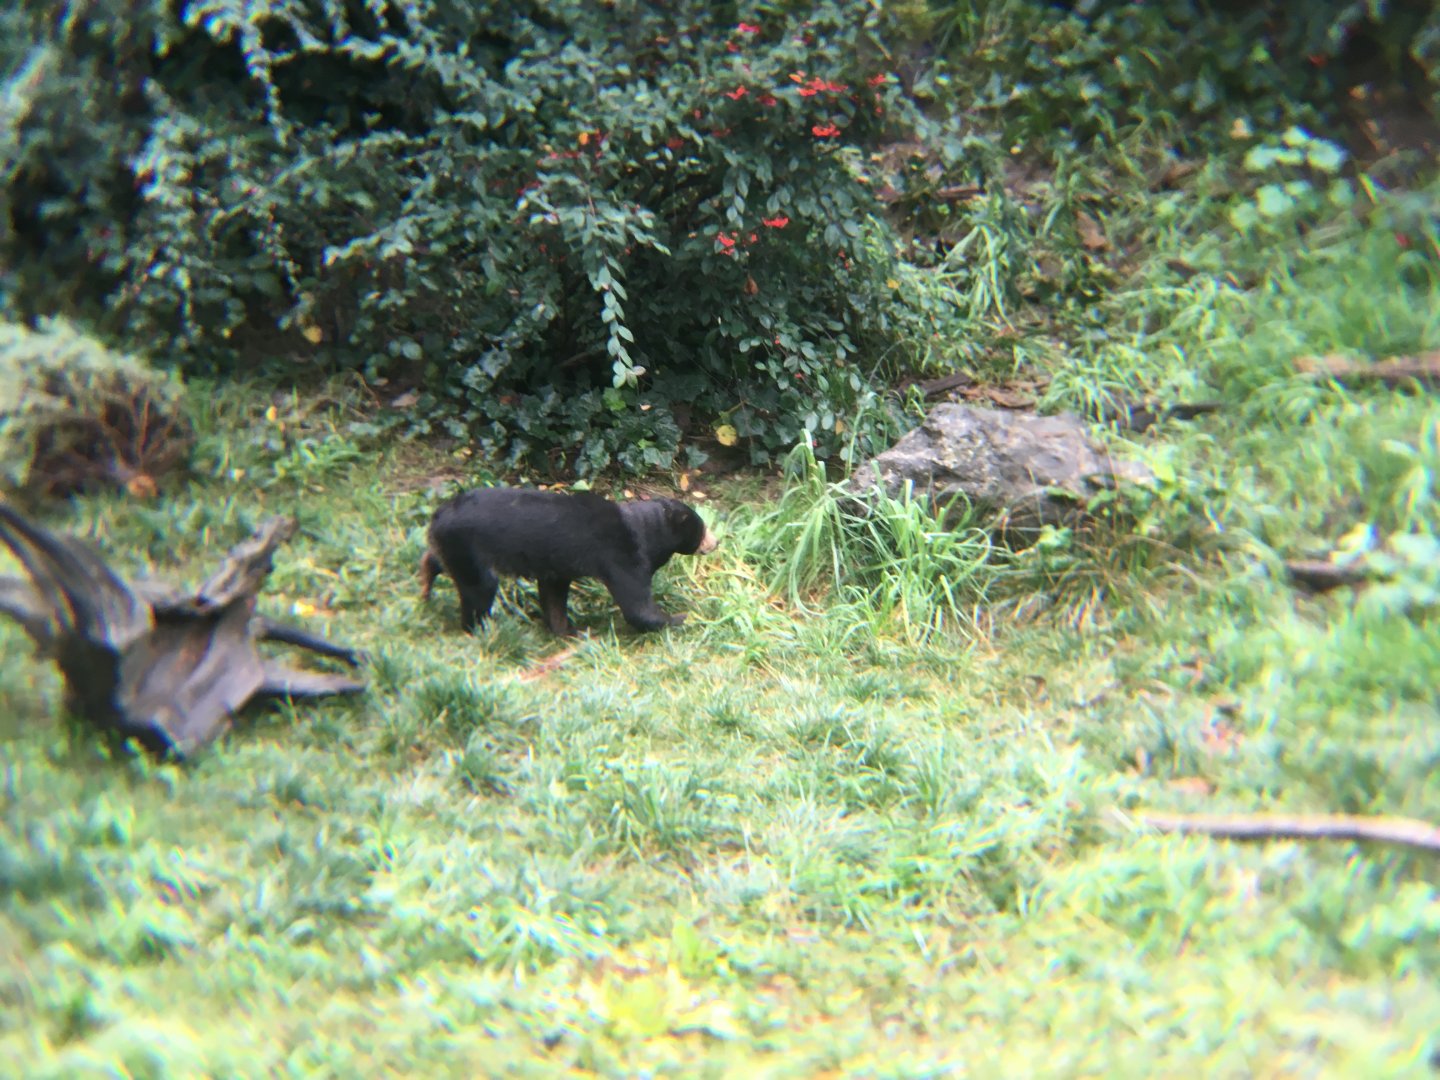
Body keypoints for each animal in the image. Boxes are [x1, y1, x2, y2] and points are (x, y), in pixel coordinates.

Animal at [419, 487, 718, 636]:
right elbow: (637, 606)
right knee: (480, 589)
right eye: (702, 529)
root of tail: (438, 516)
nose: (716, 542)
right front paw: (683, 617)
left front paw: (569, 630)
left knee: (439, 563)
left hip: (453, 548)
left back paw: (425, 584)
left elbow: (553, 595)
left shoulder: (556, 567)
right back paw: (481, 630)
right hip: (469, 549)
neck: (644, 528)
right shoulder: (621, 555)